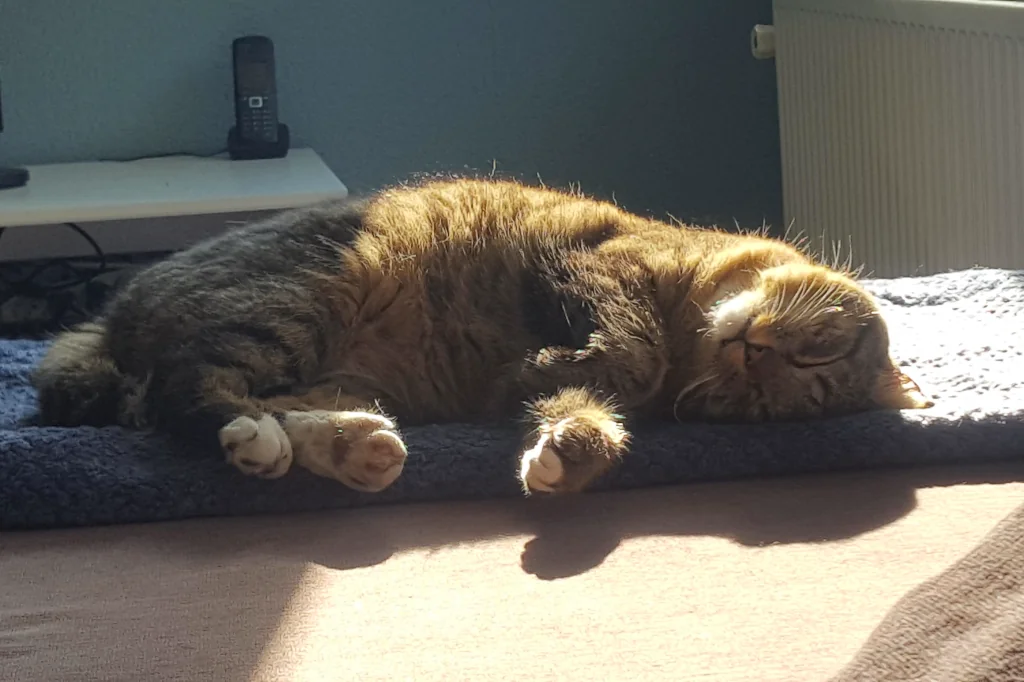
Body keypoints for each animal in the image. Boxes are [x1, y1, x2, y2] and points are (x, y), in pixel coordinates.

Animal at [32, 178, 933, 491]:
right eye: (818, 352)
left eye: (764, 402)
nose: (755, 352)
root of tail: (114, 314)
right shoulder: (590, 258)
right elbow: (629, 350)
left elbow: (586, 406)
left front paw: (570, 452)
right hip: (300, 300)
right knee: (189, 388)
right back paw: (266, 438)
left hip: (333, 369)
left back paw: (355, 448)